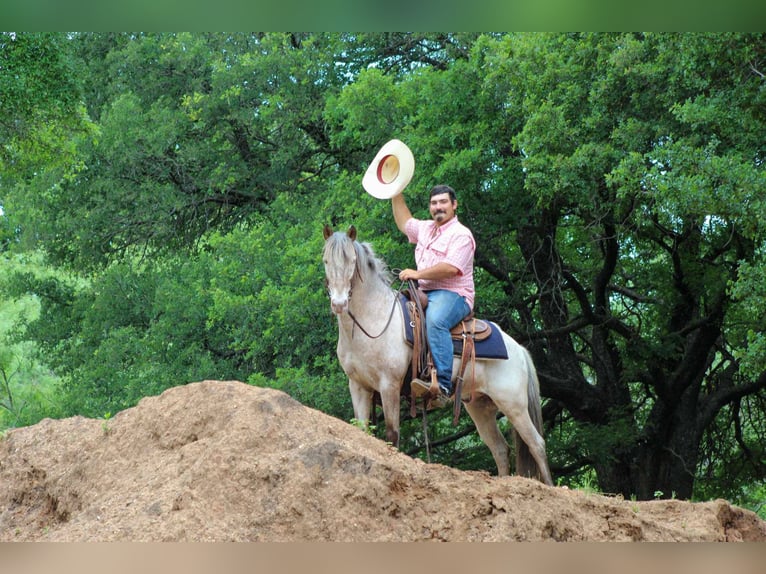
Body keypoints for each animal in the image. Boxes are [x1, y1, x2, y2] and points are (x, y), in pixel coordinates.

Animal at [322, 224, 553, 485]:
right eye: (326, 260)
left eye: (352, 261)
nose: (339, 303)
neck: (373, 320)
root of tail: (519, 349)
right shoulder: (358, 386)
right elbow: (361, 430)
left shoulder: (389, 385)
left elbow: (392, 435)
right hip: (481, 406)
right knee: (500, 449)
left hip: (514, 404)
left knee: (537, 444)